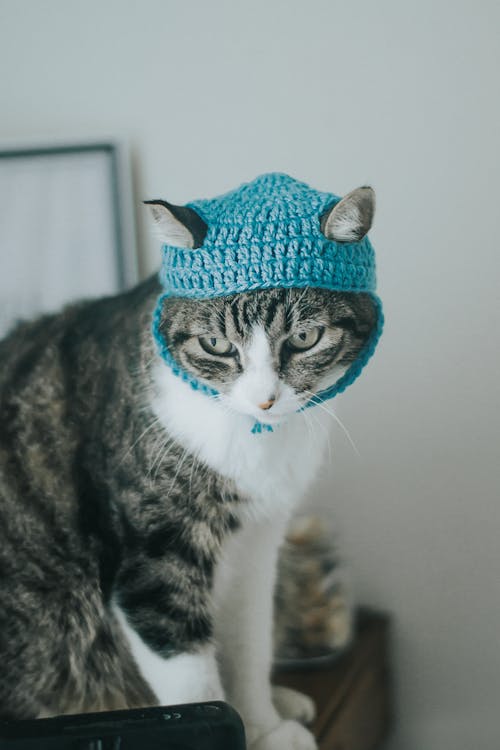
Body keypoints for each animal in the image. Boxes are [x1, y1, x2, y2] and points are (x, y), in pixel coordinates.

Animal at [0, 178, 378, 750]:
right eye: (216, 344)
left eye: (305, 338)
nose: (265, 400)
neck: (251, 438)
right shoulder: (155, 553)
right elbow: (190, 676)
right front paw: (230, 725)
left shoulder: (257, 540)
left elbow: (250, 641)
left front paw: (262, 724)